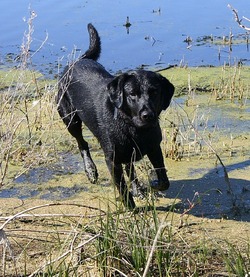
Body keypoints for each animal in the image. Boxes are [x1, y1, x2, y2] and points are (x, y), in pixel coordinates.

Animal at [56, 23, 174, 208]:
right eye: (132, 94)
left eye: (154, 92)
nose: (148, 115)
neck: (133, 128)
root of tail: (77, 61)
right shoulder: (112, 160)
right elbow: (122, 188)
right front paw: (132, 210)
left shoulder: (154, 147)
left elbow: (163, 181)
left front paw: (151, 185)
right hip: (70, 119)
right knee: (82, 143)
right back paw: (91, 170)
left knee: (130, 168)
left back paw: (138, 189)